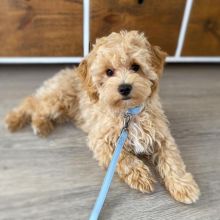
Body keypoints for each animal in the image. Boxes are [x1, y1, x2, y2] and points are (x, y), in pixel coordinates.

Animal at [4, 30, 200, 204]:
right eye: (109, 72)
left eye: (136, 67)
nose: (124, 87)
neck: (128, 113)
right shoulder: (100, 141)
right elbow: (124, 158)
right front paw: (141, 176)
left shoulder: (162, 136)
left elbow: (172, 160)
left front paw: (184, 186)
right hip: (58, 98)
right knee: (32, 103)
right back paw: (16, 120)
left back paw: (41, 125)